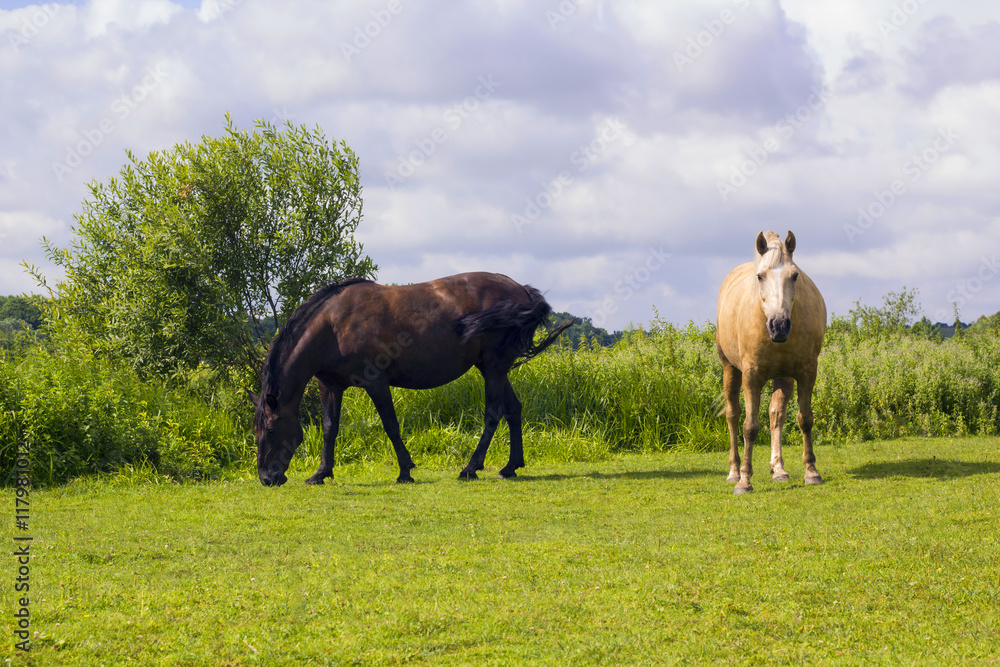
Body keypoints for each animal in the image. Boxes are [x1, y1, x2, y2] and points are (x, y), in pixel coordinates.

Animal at [248, 272, 572, 486]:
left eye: (271, 430)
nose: (266, 478)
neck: (334, 324)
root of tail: (522, 291)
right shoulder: (330, 385)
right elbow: (330, 428)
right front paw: (320, 473)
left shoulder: (376, 382)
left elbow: (391, 426)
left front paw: (405, 471)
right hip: (494, 367)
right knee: (513, 410)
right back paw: (510, 466)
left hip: (493, 367)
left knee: (493, 414)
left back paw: (470, 468)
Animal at [720, 232, 828, 494]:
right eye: (760, 276)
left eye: (794, 275)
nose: (779, 325)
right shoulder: (751, 377)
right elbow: (749, 426)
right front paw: (744, 481)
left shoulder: (807, 372)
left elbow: (805, 419)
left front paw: (811, 472)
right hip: (730, 369)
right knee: (733, 415)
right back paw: (734, 471)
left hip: (783, 376)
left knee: (775, 414)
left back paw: (779, 469)